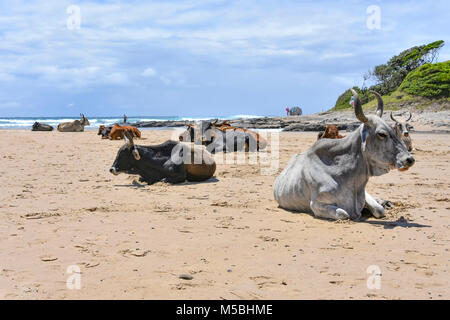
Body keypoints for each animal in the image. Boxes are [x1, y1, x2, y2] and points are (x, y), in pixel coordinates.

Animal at [272, 89, 414, 220]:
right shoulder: (316, 205)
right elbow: (344, 214)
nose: (409, 159)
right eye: (382, 134)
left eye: (394, 130)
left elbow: (379, 210)